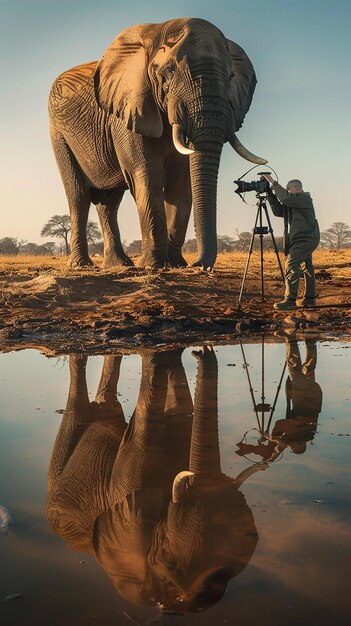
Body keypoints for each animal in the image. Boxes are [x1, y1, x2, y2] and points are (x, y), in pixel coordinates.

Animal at [46, 346, 262, 616]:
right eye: (168, 558)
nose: (199, 351)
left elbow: (181, 405)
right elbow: (145, 423)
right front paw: (167, 353)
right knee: (74, 410)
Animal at [48, 16, 266, 268]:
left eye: (231, 77)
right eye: (168, 72)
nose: (198, 264)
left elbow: (181, 184)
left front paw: (175, 264)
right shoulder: (127, 114)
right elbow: (148, 177)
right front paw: (152, 265)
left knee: (109, 202)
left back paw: (119, 264)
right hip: (59, 134)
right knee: (79, 196)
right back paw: (81, 264)